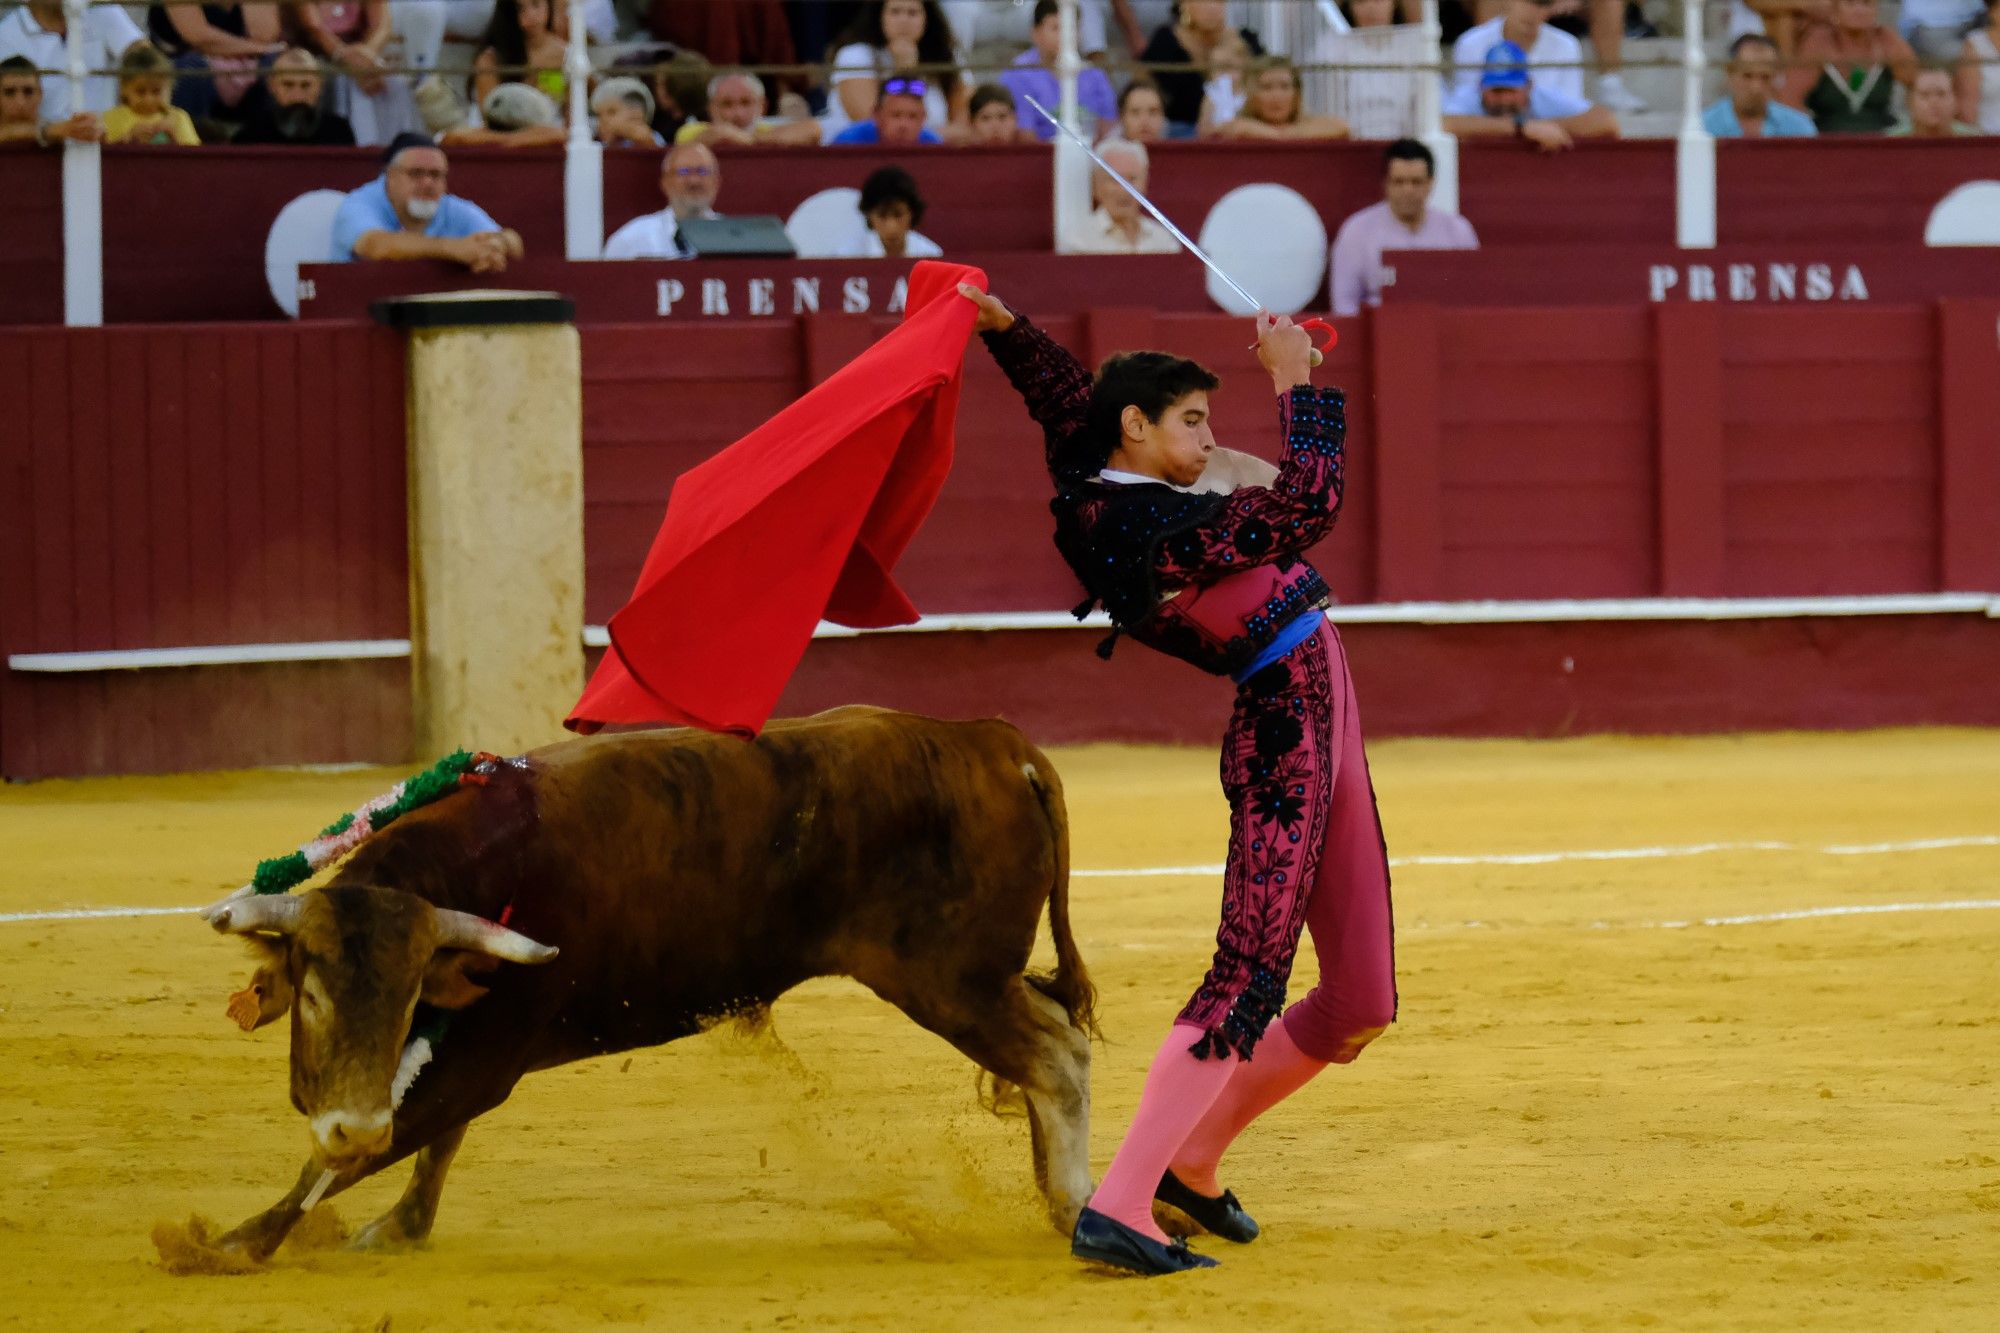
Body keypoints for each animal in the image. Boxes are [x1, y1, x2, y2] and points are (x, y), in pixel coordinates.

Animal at [197, 704, 1104, 1256]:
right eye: (314, 995)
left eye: (406, 999)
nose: (348, 1122)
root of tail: (993, 741)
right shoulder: (468, 1047)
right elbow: (429, 1139)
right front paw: (399, 1226)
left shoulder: (485, 1057)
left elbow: (379, 1146)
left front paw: (225, 1244)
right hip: (978, 978)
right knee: (1046, 1039)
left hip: (950, 980)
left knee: (1056, 1057)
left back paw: (1073, 1206)